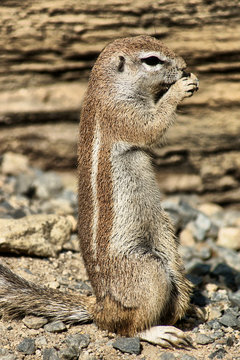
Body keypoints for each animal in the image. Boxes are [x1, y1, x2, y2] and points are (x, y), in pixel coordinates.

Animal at [0, 35, 199, 348]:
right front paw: (180, 88)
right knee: (128, 326)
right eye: (152, 60)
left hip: (169, 252)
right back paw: (159, 332)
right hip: (148, 272)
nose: (184, 65)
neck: (109, 87)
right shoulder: (122, 115)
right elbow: (152, 126)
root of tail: (101, 306)